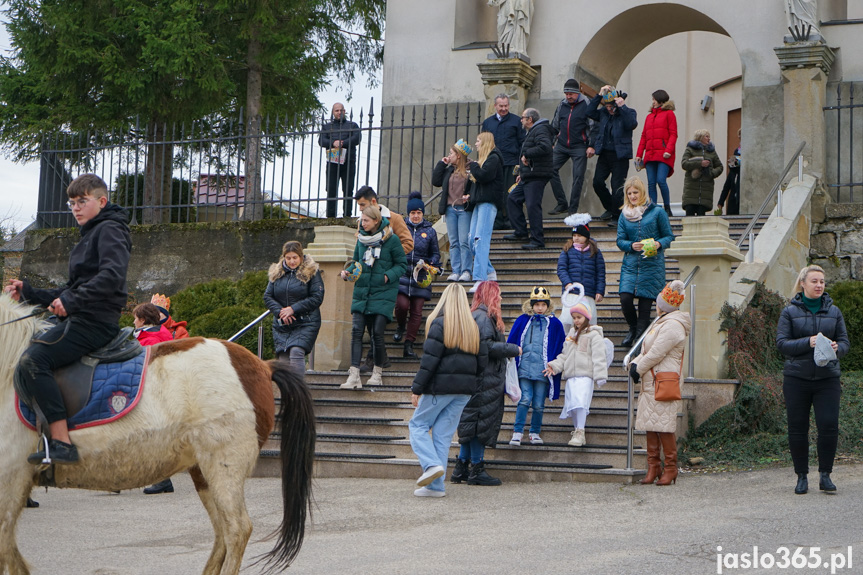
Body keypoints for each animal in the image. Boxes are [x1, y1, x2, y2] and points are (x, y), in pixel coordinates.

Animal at [0, 294, 318, 572]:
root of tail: (260, 364)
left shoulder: (11, 478)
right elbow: (11, 554)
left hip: (224, 468)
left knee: (237, 529)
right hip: (203, 471)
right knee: (222, 533)